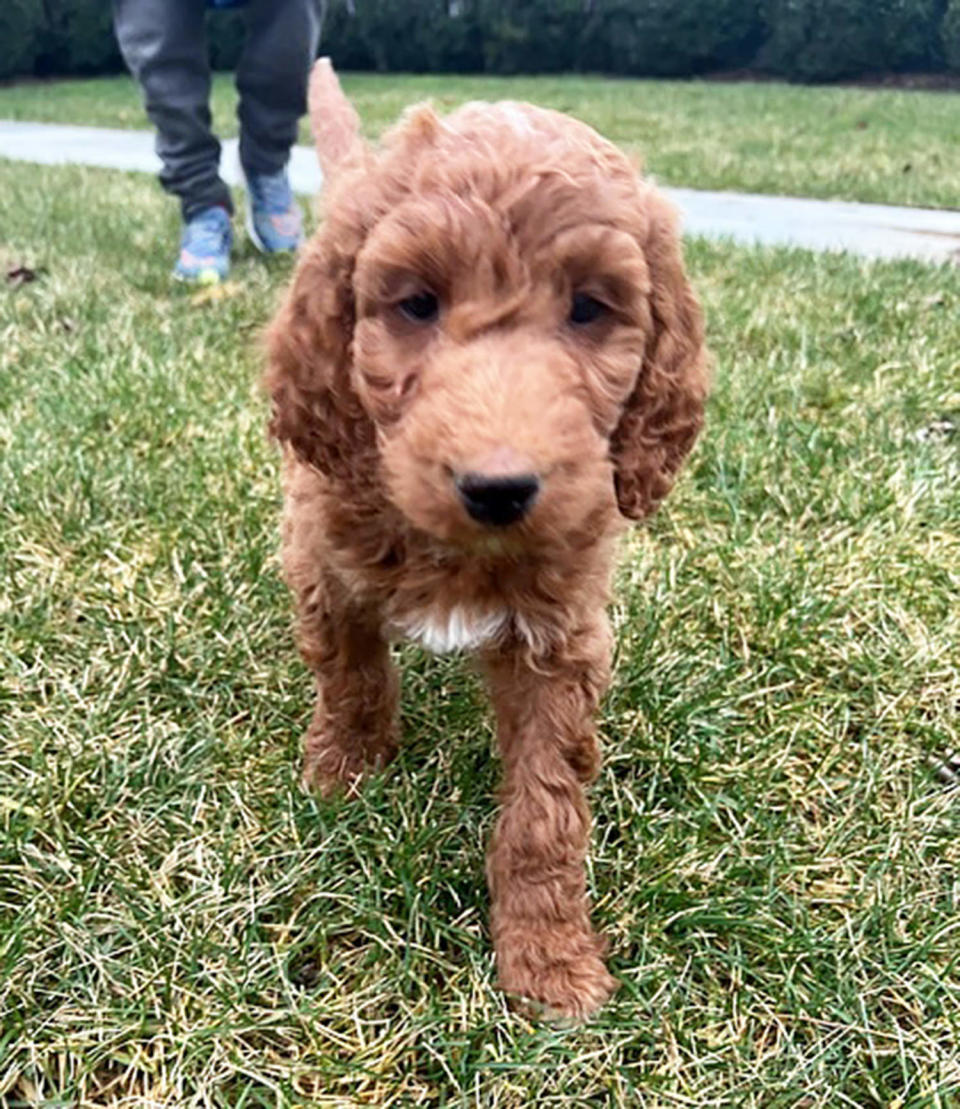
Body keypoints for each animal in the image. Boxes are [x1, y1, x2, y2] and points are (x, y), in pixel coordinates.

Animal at [260, 58, 705, 1015]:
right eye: (417, 304)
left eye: (589, 308)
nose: (498, 487)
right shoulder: (324, 560)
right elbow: (350, 675)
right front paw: (343, 775)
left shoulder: (562, 636)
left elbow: (545, 807)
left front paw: (548, 955)